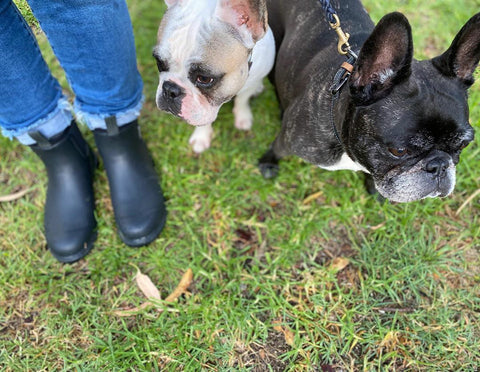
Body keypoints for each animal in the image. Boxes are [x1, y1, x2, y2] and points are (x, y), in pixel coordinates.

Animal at [154, 0, 274, 153]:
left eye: (204, 79)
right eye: (159, 63)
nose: (170, 90)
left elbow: (242, 99)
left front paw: (243, 116)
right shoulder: (201, 110)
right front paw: (201, 137)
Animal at [260, 0, 478, 202]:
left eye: (463, 145)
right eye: (399, 151)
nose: (439, 165)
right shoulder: (290, 140)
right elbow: (277, 148)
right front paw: (268, 162)